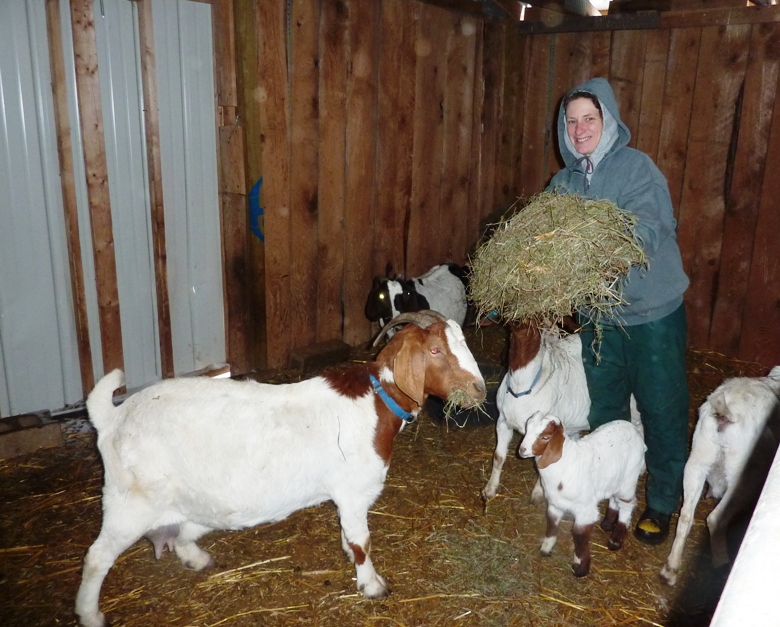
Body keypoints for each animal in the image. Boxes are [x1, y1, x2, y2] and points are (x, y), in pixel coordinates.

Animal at [76, 310, 484, 627]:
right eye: (435, 350)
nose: (479, 389)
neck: (376, 400)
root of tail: (112, 418)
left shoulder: (344, 500)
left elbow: (348, 537)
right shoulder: (353, 492)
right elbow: (362, 542)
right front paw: (372, 585)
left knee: (179, 532)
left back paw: (195, 557)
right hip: (128, 502)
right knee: (97, 557)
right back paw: (90, 614)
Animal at [516, 412, 644, 580]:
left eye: (545, 437)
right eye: (527, 428)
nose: (522, 450)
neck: (565, 463)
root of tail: (632, 427)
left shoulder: (585, 510)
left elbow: (579, 535)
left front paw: (580, 567)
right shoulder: (555, 504)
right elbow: (551, 523)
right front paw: (546, 548)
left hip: (629, 478)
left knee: (627, 505)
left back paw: (616, 539)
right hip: (613, 478)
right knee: (613, 499)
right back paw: (607, 523)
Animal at [660, 366, 780, 588]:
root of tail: (727, 413)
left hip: (698, 460)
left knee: (686, 516)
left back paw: (670, 569)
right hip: (743, 477)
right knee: (715, 518)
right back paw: (722, 565)